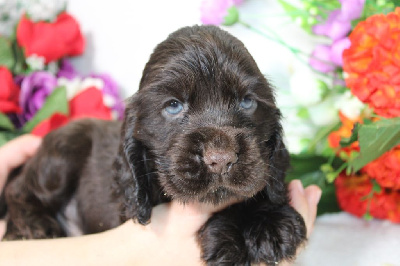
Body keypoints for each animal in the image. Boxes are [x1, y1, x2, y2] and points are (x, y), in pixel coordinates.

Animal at [0, 25, 306, 266]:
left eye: (247, 102)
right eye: (173, 106)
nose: (220, 159)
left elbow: (263, 183)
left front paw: (270, 223)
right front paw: (226, 237)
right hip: (65, 148)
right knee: (19, 188)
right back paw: (32, 228)